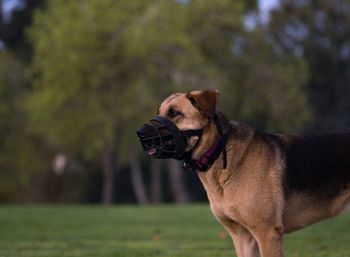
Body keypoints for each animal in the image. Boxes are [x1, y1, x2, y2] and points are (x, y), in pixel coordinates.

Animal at [136, 89, 350, 255]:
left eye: (174, 113)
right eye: (159, 112)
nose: (139, 133)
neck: (218, 150)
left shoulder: (267, 233)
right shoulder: (242, 237)